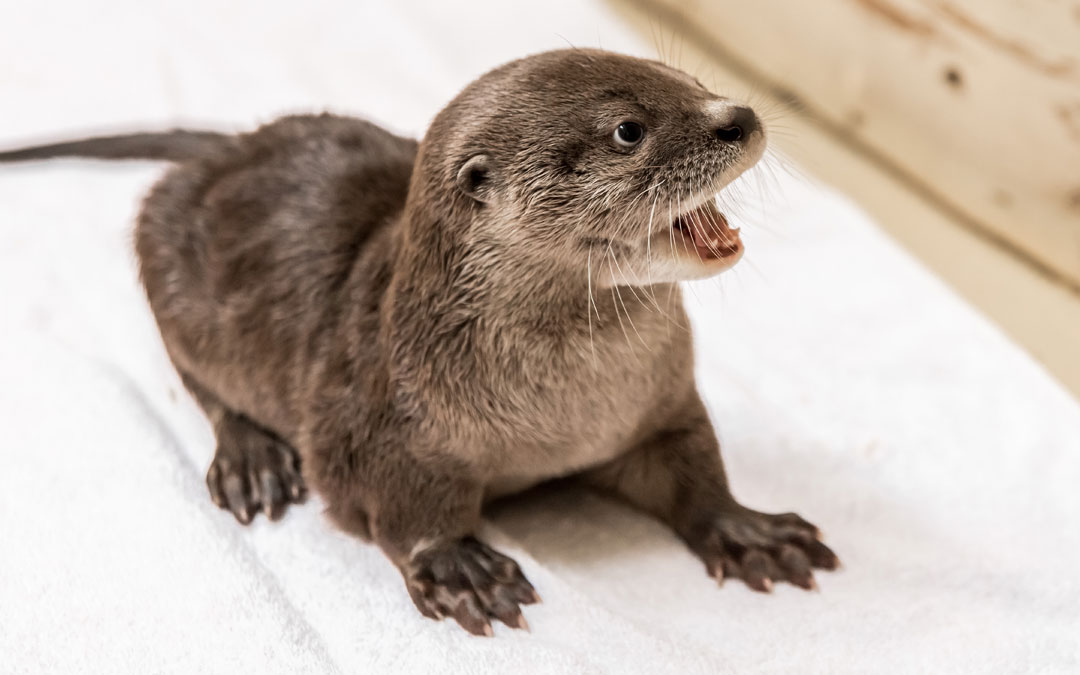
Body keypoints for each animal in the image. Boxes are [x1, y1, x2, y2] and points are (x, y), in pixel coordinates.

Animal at [0, 49, 833, 635]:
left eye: (688, 79)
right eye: (628, 131)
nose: (739, 116)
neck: (566, 409)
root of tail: (226, 152)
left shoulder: (660, 403)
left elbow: (696, 465)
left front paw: (750, 529)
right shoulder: (384, 420)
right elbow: (393, 501)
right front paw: (459, 565)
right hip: (163, 256)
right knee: (197, 377)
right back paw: (252, 459)